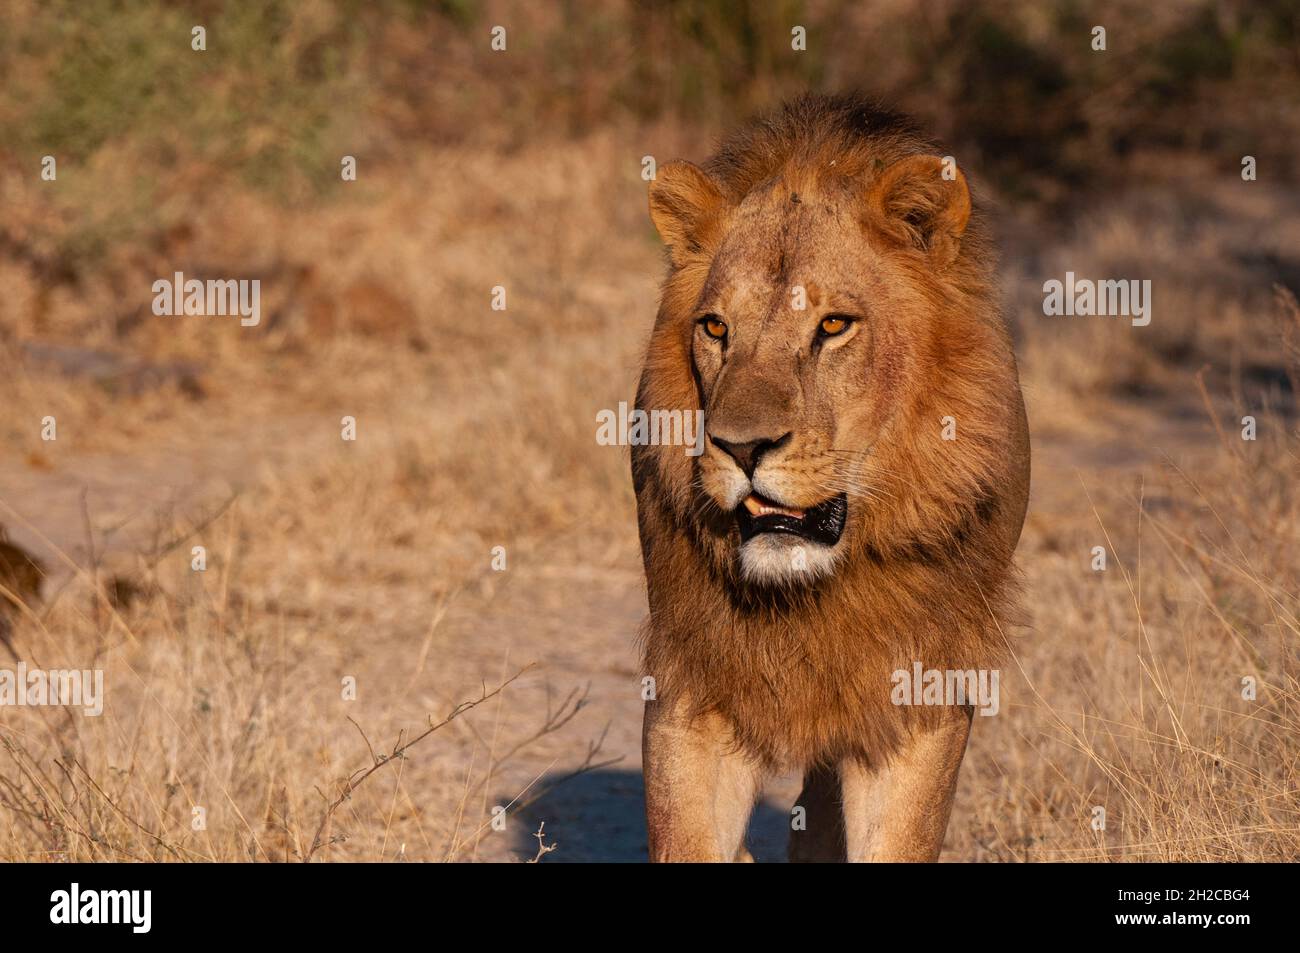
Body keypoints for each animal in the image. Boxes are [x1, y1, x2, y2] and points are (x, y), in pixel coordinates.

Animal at [632, 94, 1030, 862]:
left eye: (835, 325)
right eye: (715, 328)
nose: (740, 446)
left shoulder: (919, 692)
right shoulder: (690, 681)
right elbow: (686, 837)